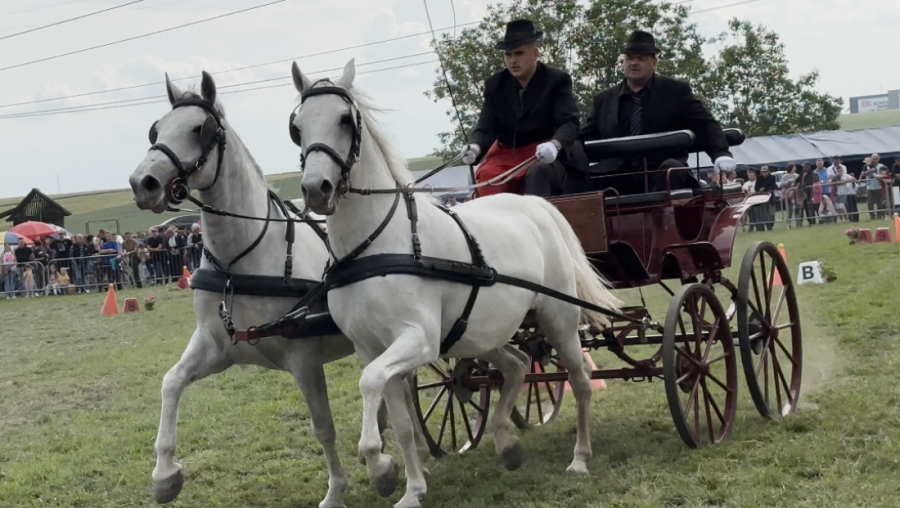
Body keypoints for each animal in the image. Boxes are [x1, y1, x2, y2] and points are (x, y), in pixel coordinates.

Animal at [128, 70, 430, 508]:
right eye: (157, 128)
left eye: (200, 129)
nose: (143, 183)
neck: (240, 264)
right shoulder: (215, 348)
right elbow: (171, 383)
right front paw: (165, 475)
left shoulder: (304, 362)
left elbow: (323, 428)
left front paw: (344, 487)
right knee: (402, 388)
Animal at [290, 60, 620, 508]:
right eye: (297, 126)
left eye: (345, 119)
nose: (315, 189)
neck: (376, 244)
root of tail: (535, 204)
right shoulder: (370, 348)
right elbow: (400, 419)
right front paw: (409, 487)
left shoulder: (418, 340)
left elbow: (370, 384)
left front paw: (379, 465)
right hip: (481, 332)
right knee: (517, 365)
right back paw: (507, 443)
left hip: (559, 319)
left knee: (581, 382)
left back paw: (580, 458)